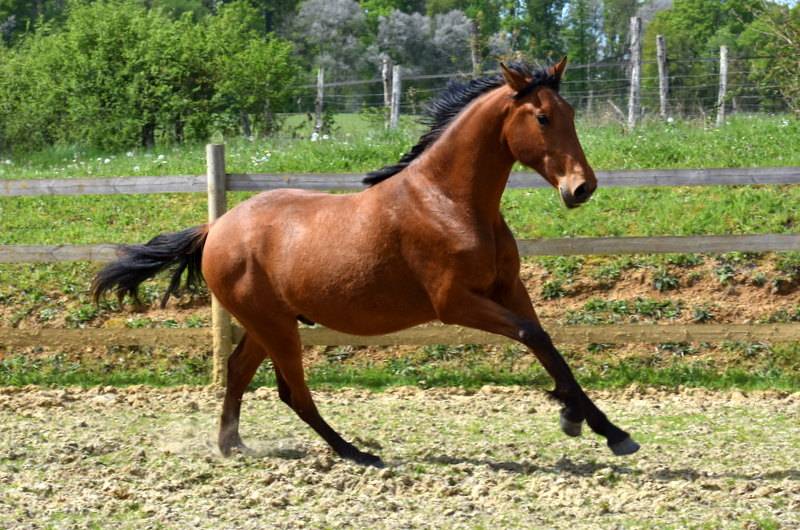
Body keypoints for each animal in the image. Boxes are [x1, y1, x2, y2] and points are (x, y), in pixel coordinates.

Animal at [93, 59, 639, 467]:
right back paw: (355, 453)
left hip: (267, 322)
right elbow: (532, 336)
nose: (581, 187)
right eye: (542, 117)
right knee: (293, 392)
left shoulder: (509, 289)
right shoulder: (455, 303)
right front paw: (583, 421)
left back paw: (233, 445)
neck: (449, 202)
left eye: (570, 112)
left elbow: (548, 343)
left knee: (239, 371)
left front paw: (600, 425)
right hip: (275, 325)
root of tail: (216, 229)